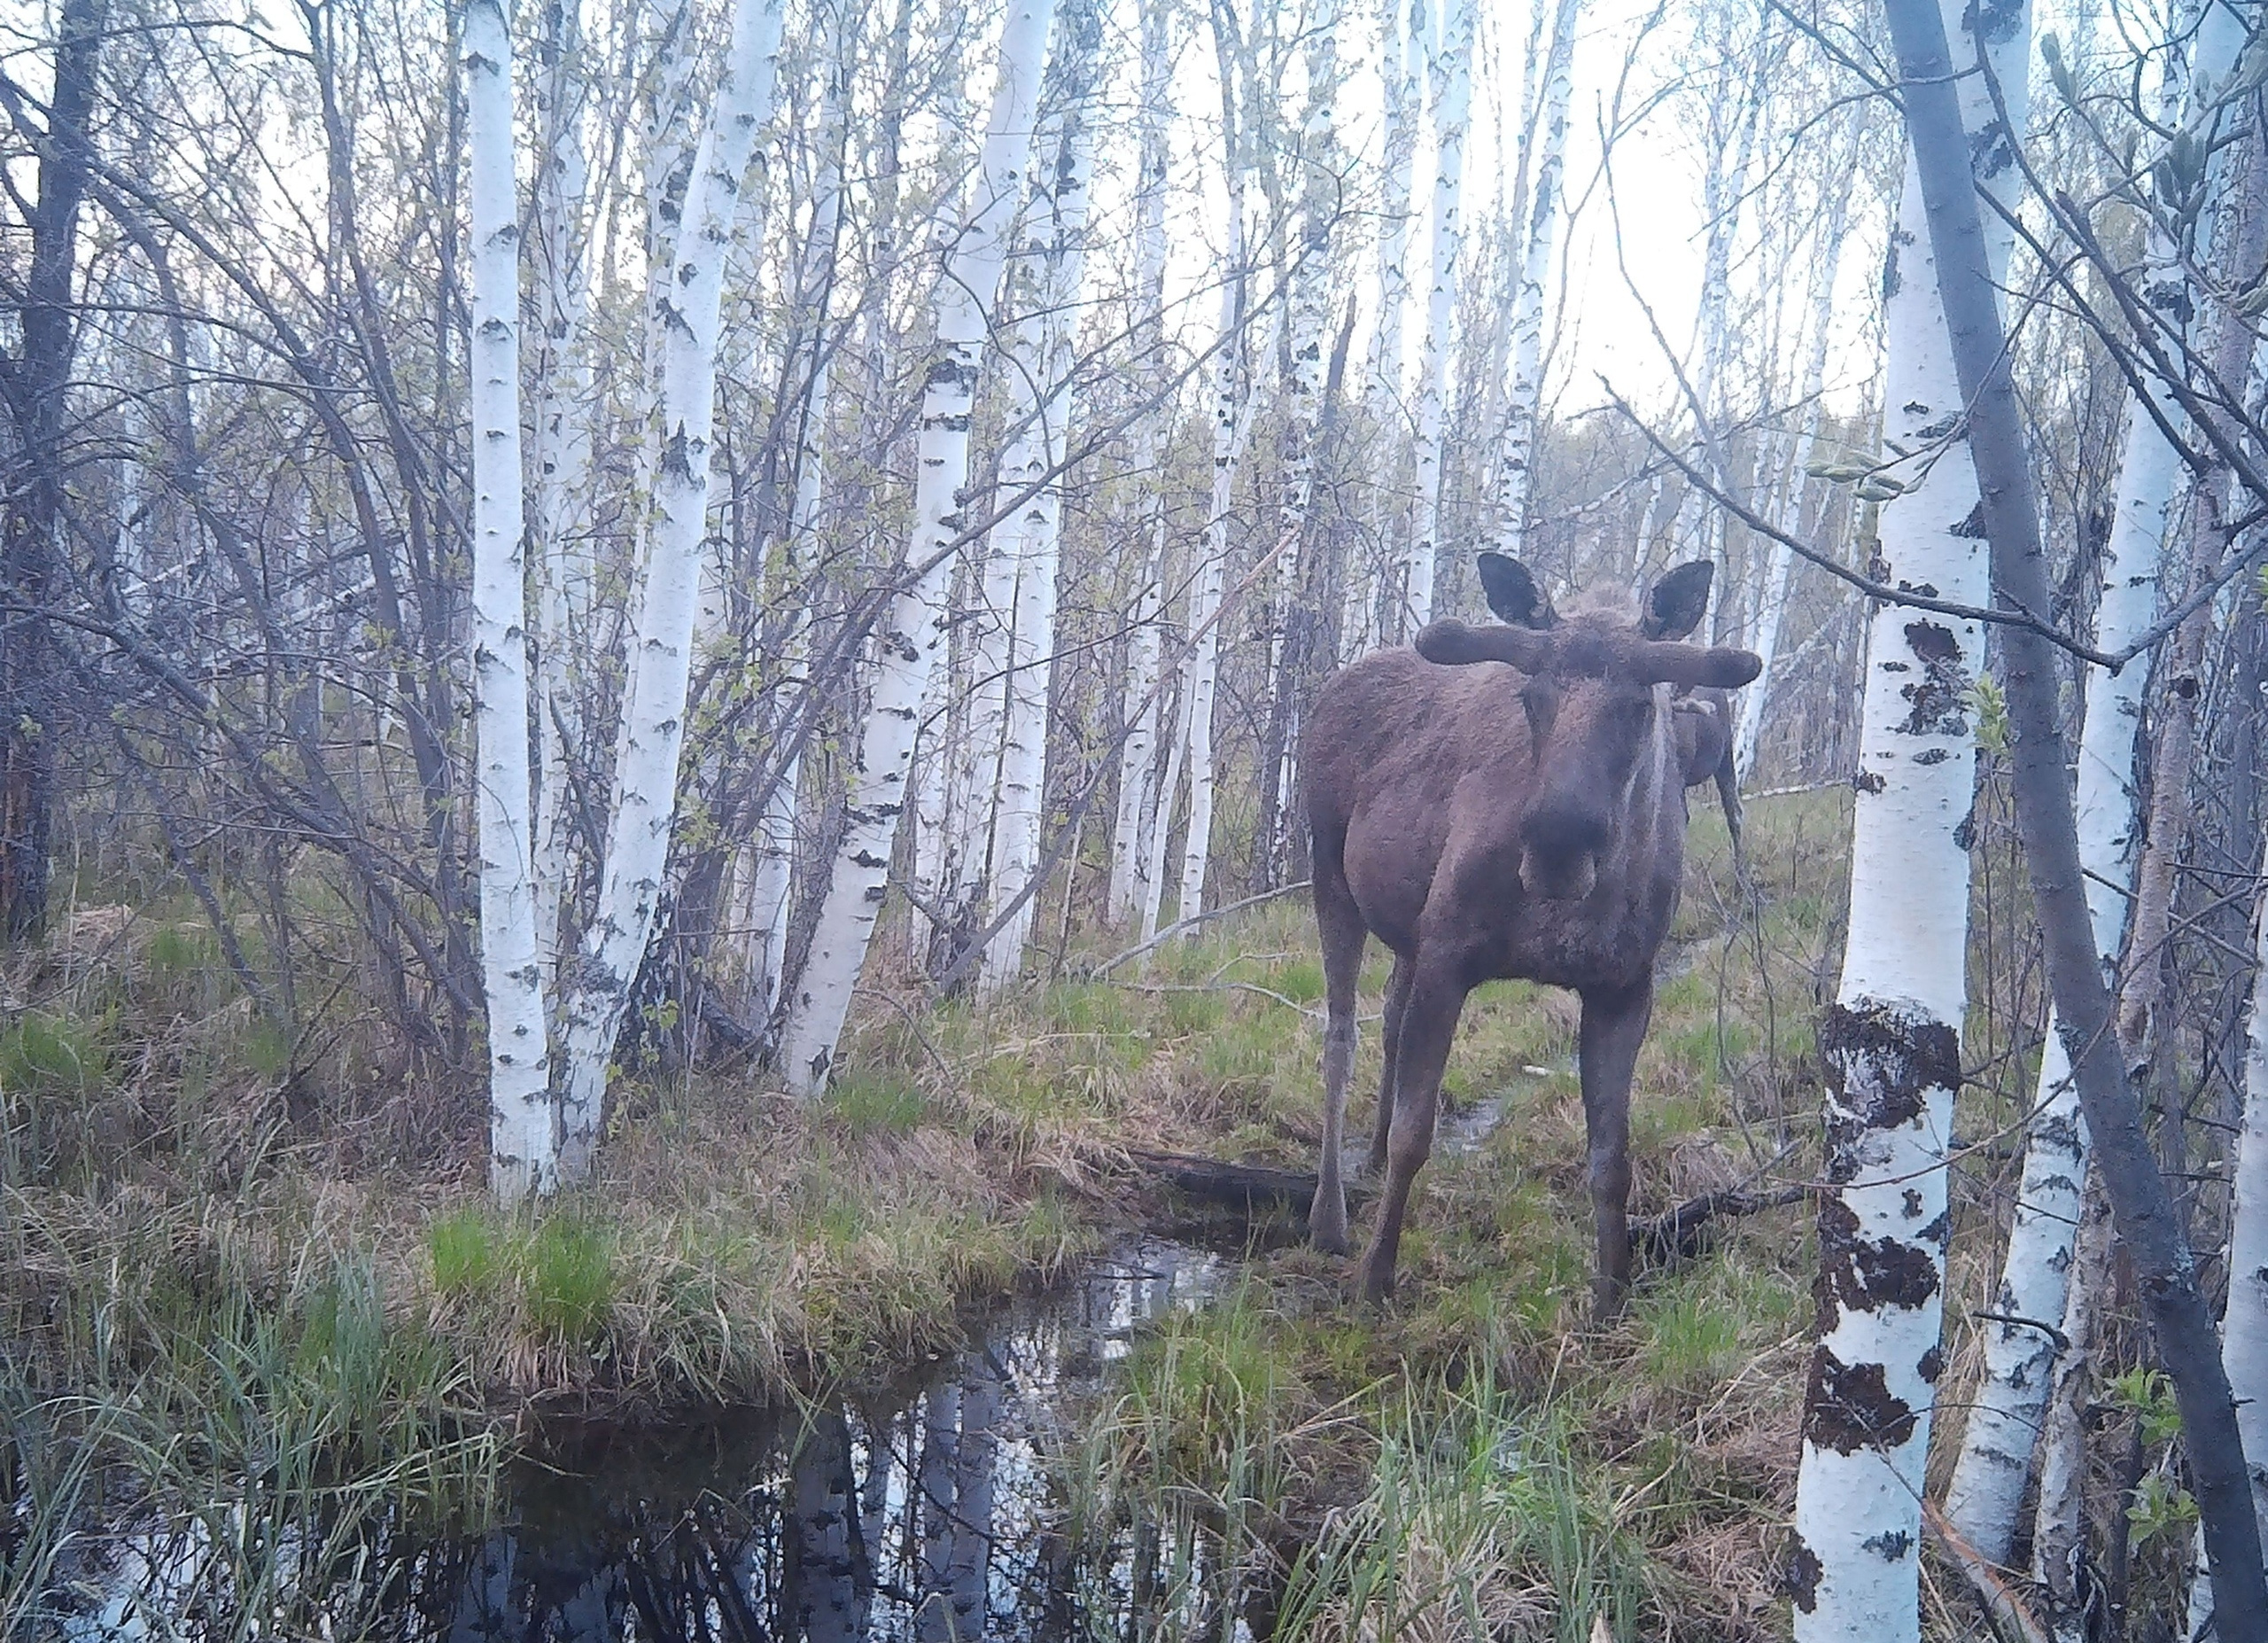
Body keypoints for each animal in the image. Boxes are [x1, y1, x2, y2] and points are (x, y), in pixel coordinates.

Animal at [1306, 551, 1759, 1307]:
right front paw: (1376, 1278)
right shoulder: (1449, 955)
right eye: (1530, 697)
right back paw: (1329, 1216)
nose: (1555, 849)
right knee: (1341, 1036)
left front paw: (1610, 1297)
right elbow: (1416, 1135)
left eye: (1640, 706)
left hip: (1405, 928)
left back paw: (1363, 1162)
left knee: (1389, 1020)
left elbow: (1611, 1160)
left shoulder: (1624, 986)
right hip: (1326, 869)